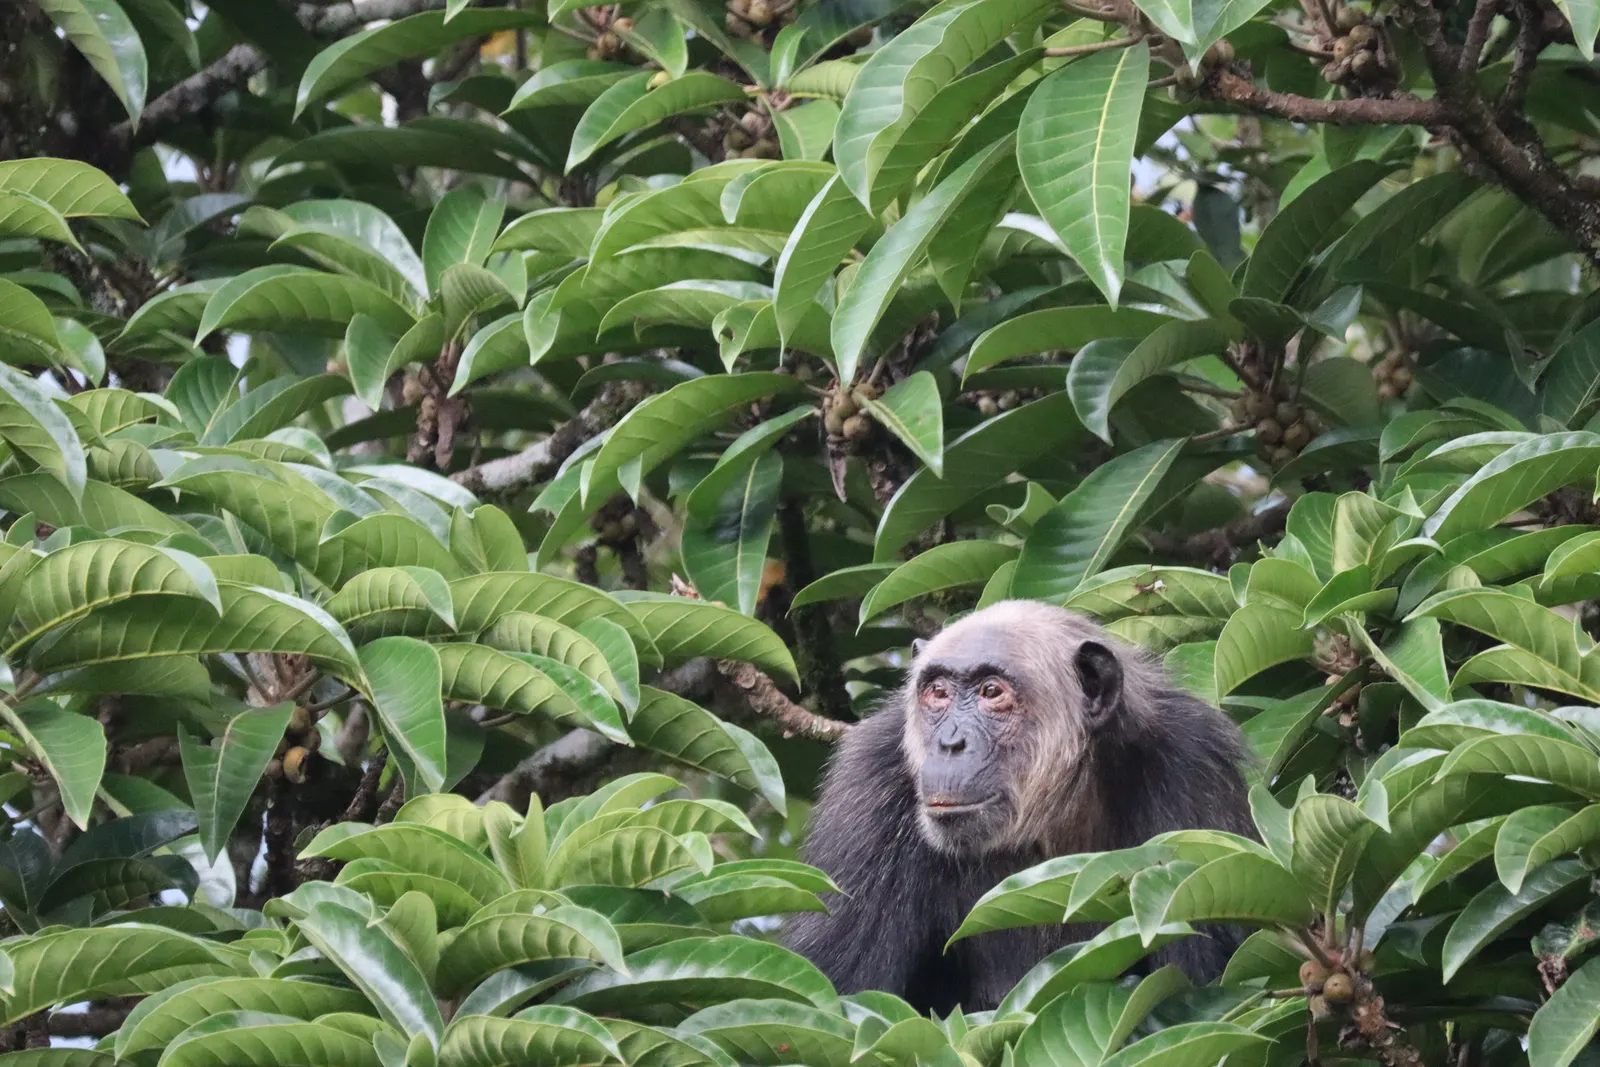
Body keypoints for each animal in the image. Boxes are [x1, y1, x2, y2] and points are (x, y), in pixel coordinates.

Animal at [783, 600, 1257, 1014]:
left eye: (992, 691)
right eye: (938, 692)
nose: (951, 742)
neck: (1054, 814)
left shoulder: (1194, 770)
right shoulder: (867, 792)